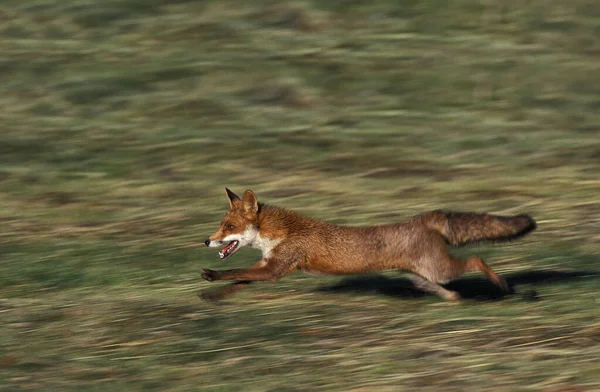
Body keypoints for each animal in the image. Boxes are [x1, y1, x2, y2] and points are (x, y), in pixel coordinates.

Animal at [202, 188, 536, 302]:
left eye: (229, 227)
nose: (206, 240)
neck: (281, 233)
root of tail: (426, 217)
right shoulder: (267, 266)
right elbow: (239, 281)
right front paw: (214, 295)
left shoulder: (275, 269)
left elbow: (234, 273)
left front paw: (211, 276)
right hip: (423, 277)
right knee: (448, 288)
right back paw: (454, 299)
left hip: (441, 270)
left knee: (477, 258)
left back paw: (503, 285)